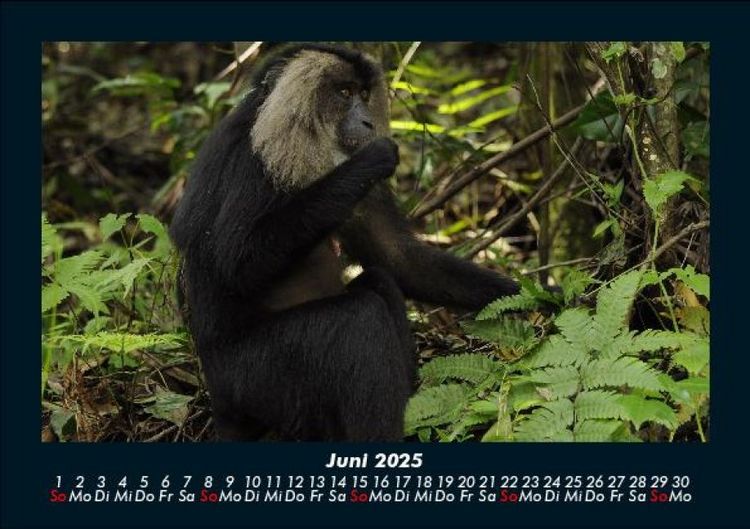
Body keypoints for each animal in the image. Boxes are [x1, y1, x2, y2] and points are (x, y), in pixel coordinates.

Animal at [169, 44, 520, 442]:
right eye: (344, 92)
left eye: (365, 95)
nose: (367, 121)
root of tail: (220, 403)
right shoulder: (253, 161)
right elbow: (238, 262)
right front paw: (373, 157)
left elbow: (396, 257)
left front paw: (532, 298)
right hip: (255, 380)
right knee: (358, 318)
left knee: (379, 282)